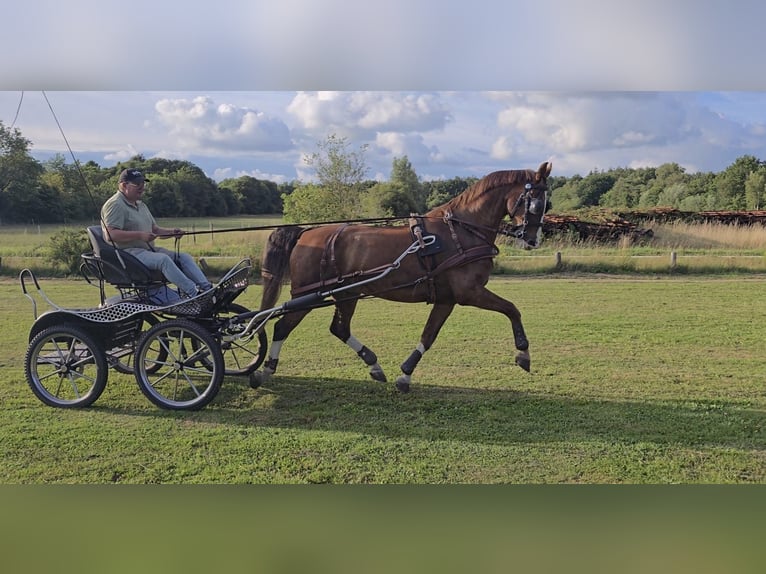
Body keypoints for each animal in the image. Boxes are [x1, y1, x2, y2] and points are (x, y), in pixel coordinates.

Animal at [250, 161, 552, 393]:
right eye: (537, 204)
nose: (533, 240)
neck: (461, 232)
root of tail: (306, 232)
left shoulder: (447, 298)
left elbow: (429, 335)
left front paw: (405, 374)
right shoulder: (470, 292)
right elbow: (512, 309)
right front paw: (523, 353)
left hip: (346, 294)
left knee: (339, 329)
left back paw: (373, 364)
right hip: (308, 295)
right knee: (282, 326)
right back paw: (265, 370)